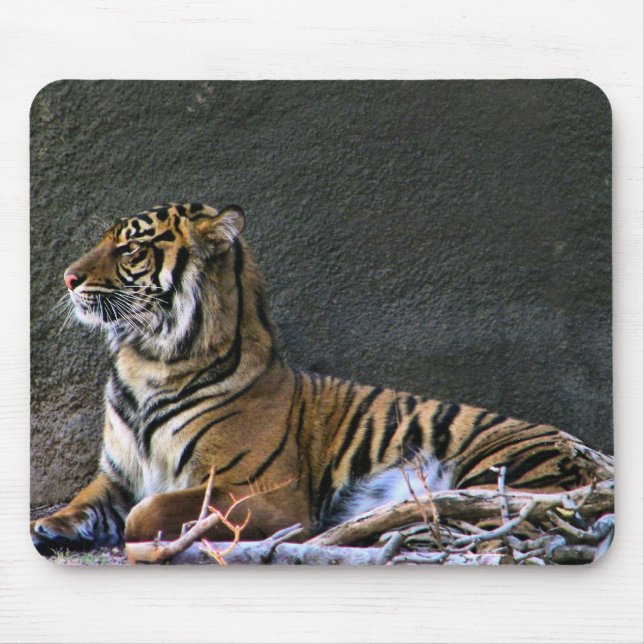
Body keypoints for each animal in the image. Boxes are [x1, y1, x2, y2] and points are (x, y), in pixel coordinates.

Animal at [31, 202, 613, 554]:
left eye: (131, 248)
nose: (68, 278)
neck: (148, 362)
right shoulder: (117, 475)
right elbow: (84, 500)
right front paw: (49, 525)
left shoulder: (259, 491)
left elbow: (146, 512)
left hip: (499, 472)